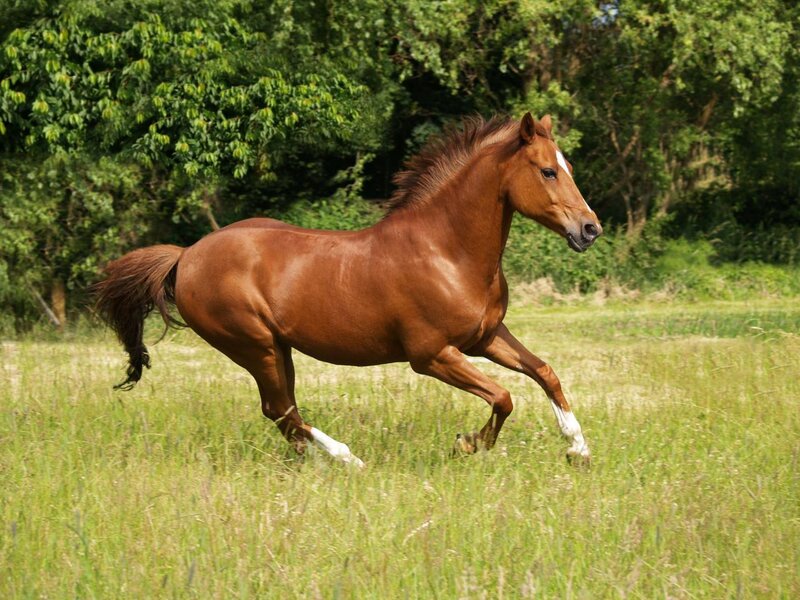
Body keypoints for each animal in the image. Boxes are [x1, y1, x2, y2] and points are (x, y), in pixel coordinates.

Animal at [93, 113, 602, 467]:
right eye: (548, 171)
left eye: (568, 166)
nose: (590, 229)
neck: (447, 250)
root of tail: (186, 256)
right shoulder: (432, 355)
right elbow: (503, 396)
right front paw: (468, 444)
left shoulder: (486, 337)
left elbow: (544, 372)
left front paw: (577, 448)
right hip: (253, 345)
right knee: (281, 410)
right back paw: (348, 459)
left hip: (277, 348)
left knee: (284, 415)